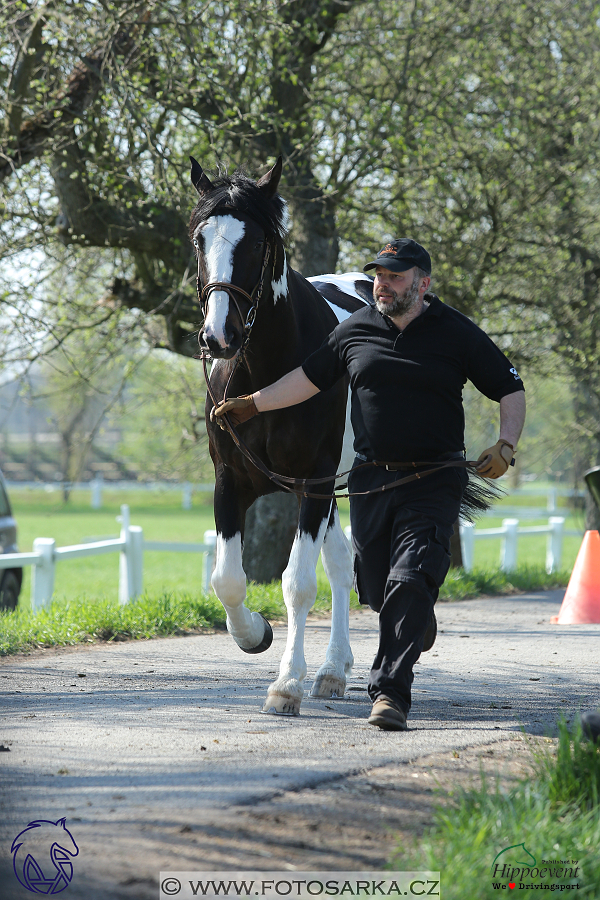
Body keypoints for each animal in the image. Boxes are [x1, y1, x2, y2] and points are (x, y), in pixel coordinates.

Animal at [189, 156, 376, 716]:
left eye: (255, 243)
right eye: (199, 240)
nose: (217, 337)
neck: (266, 371)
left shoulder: (312, 482)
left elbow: (297, 583)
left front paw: (286, 683)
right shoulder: (230, 481)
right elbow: (227, 579)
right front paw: (254, 634)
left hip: (346, 482)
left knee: (340, 567)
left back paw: (328, 670)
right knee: (340, 562)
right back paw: (334, 670)